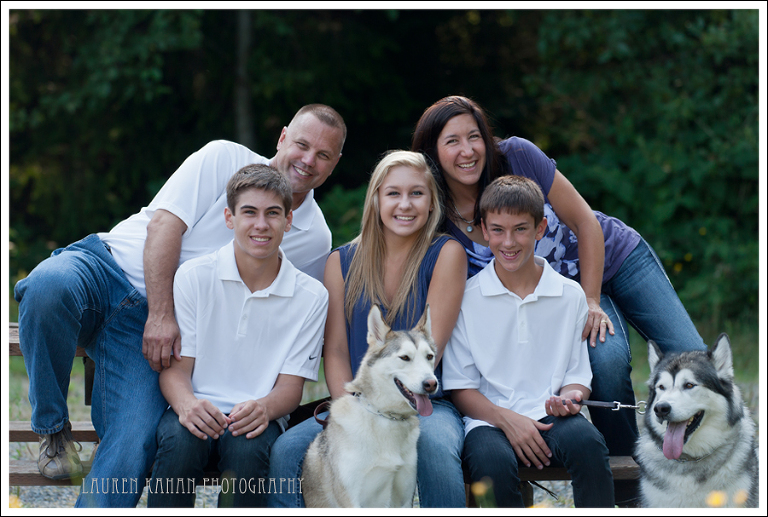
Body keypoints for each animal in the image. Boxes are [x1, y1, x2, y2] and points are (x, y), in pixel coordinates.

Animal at [301, 304, 438, 508]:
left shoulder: (404, 499)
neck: (386, 417)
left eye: (429, 356)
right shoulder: (351, 501)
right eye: (405, 358)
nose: (431, 384)